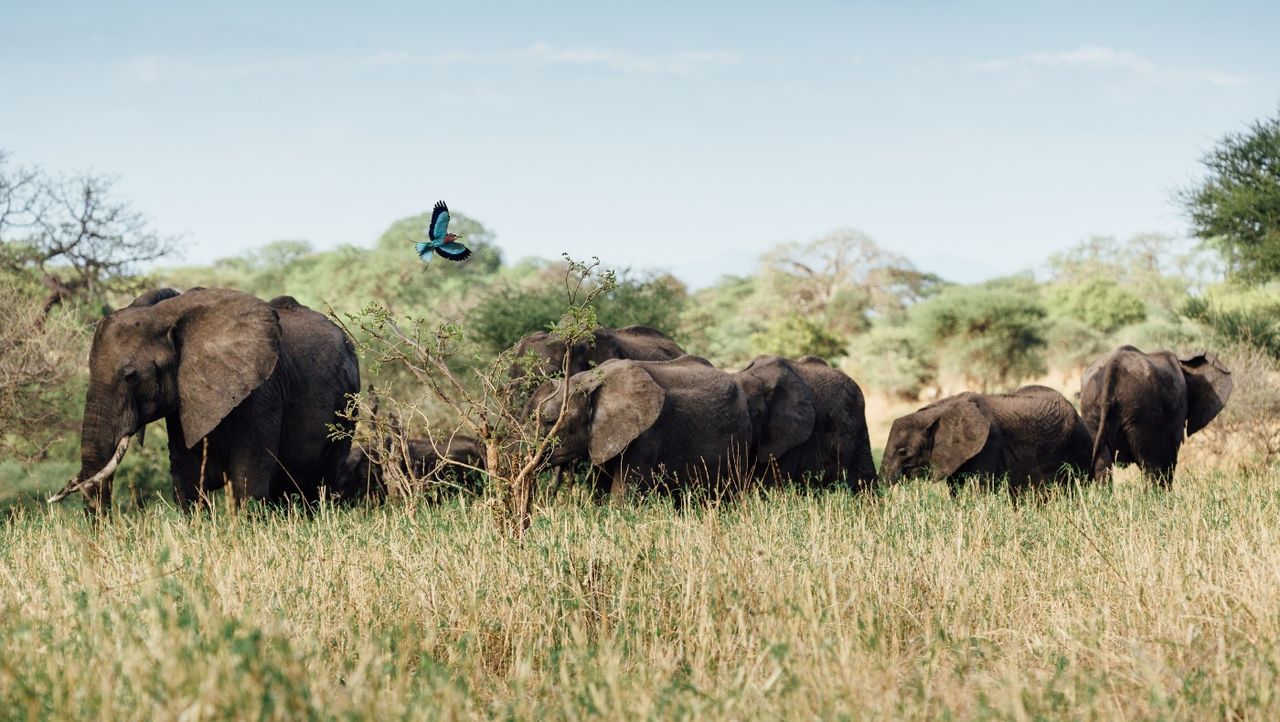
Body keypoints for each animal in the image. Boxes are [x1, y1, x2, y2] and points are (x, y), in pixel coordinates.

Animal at [56, 288, 360, 512]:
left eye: (131, 376)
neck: (168, 314)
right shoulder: (184, 401)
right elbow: (186, 479)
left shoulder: (263, 395)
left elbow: (247, 482)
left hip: (347, 409)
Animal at [1080, 343, 1228, 483]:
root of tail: (1112, 367)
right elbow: (1171, 451)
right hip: (1141, 406)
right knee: (1152, 466)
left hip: (1092, 404)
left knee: (1102, 464)